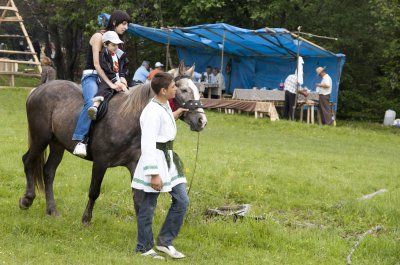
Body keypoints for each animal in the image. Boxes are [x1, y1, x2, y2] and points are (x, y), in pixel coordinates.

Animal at [18, 62, 206, 225]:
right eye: (183, 89)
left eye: (199, 92)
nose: (201, 121)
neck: (129, 119)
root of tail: (38, 90)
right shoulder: (101, 162)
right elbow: (94, 191)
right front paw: (86, 219)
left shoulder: (134, 164)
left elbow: (138, 197)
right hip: (40, 139)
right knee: (28, 161)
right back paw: (27, 199)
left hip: (57, 144)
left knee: (48, 172)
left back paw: (52, 210)